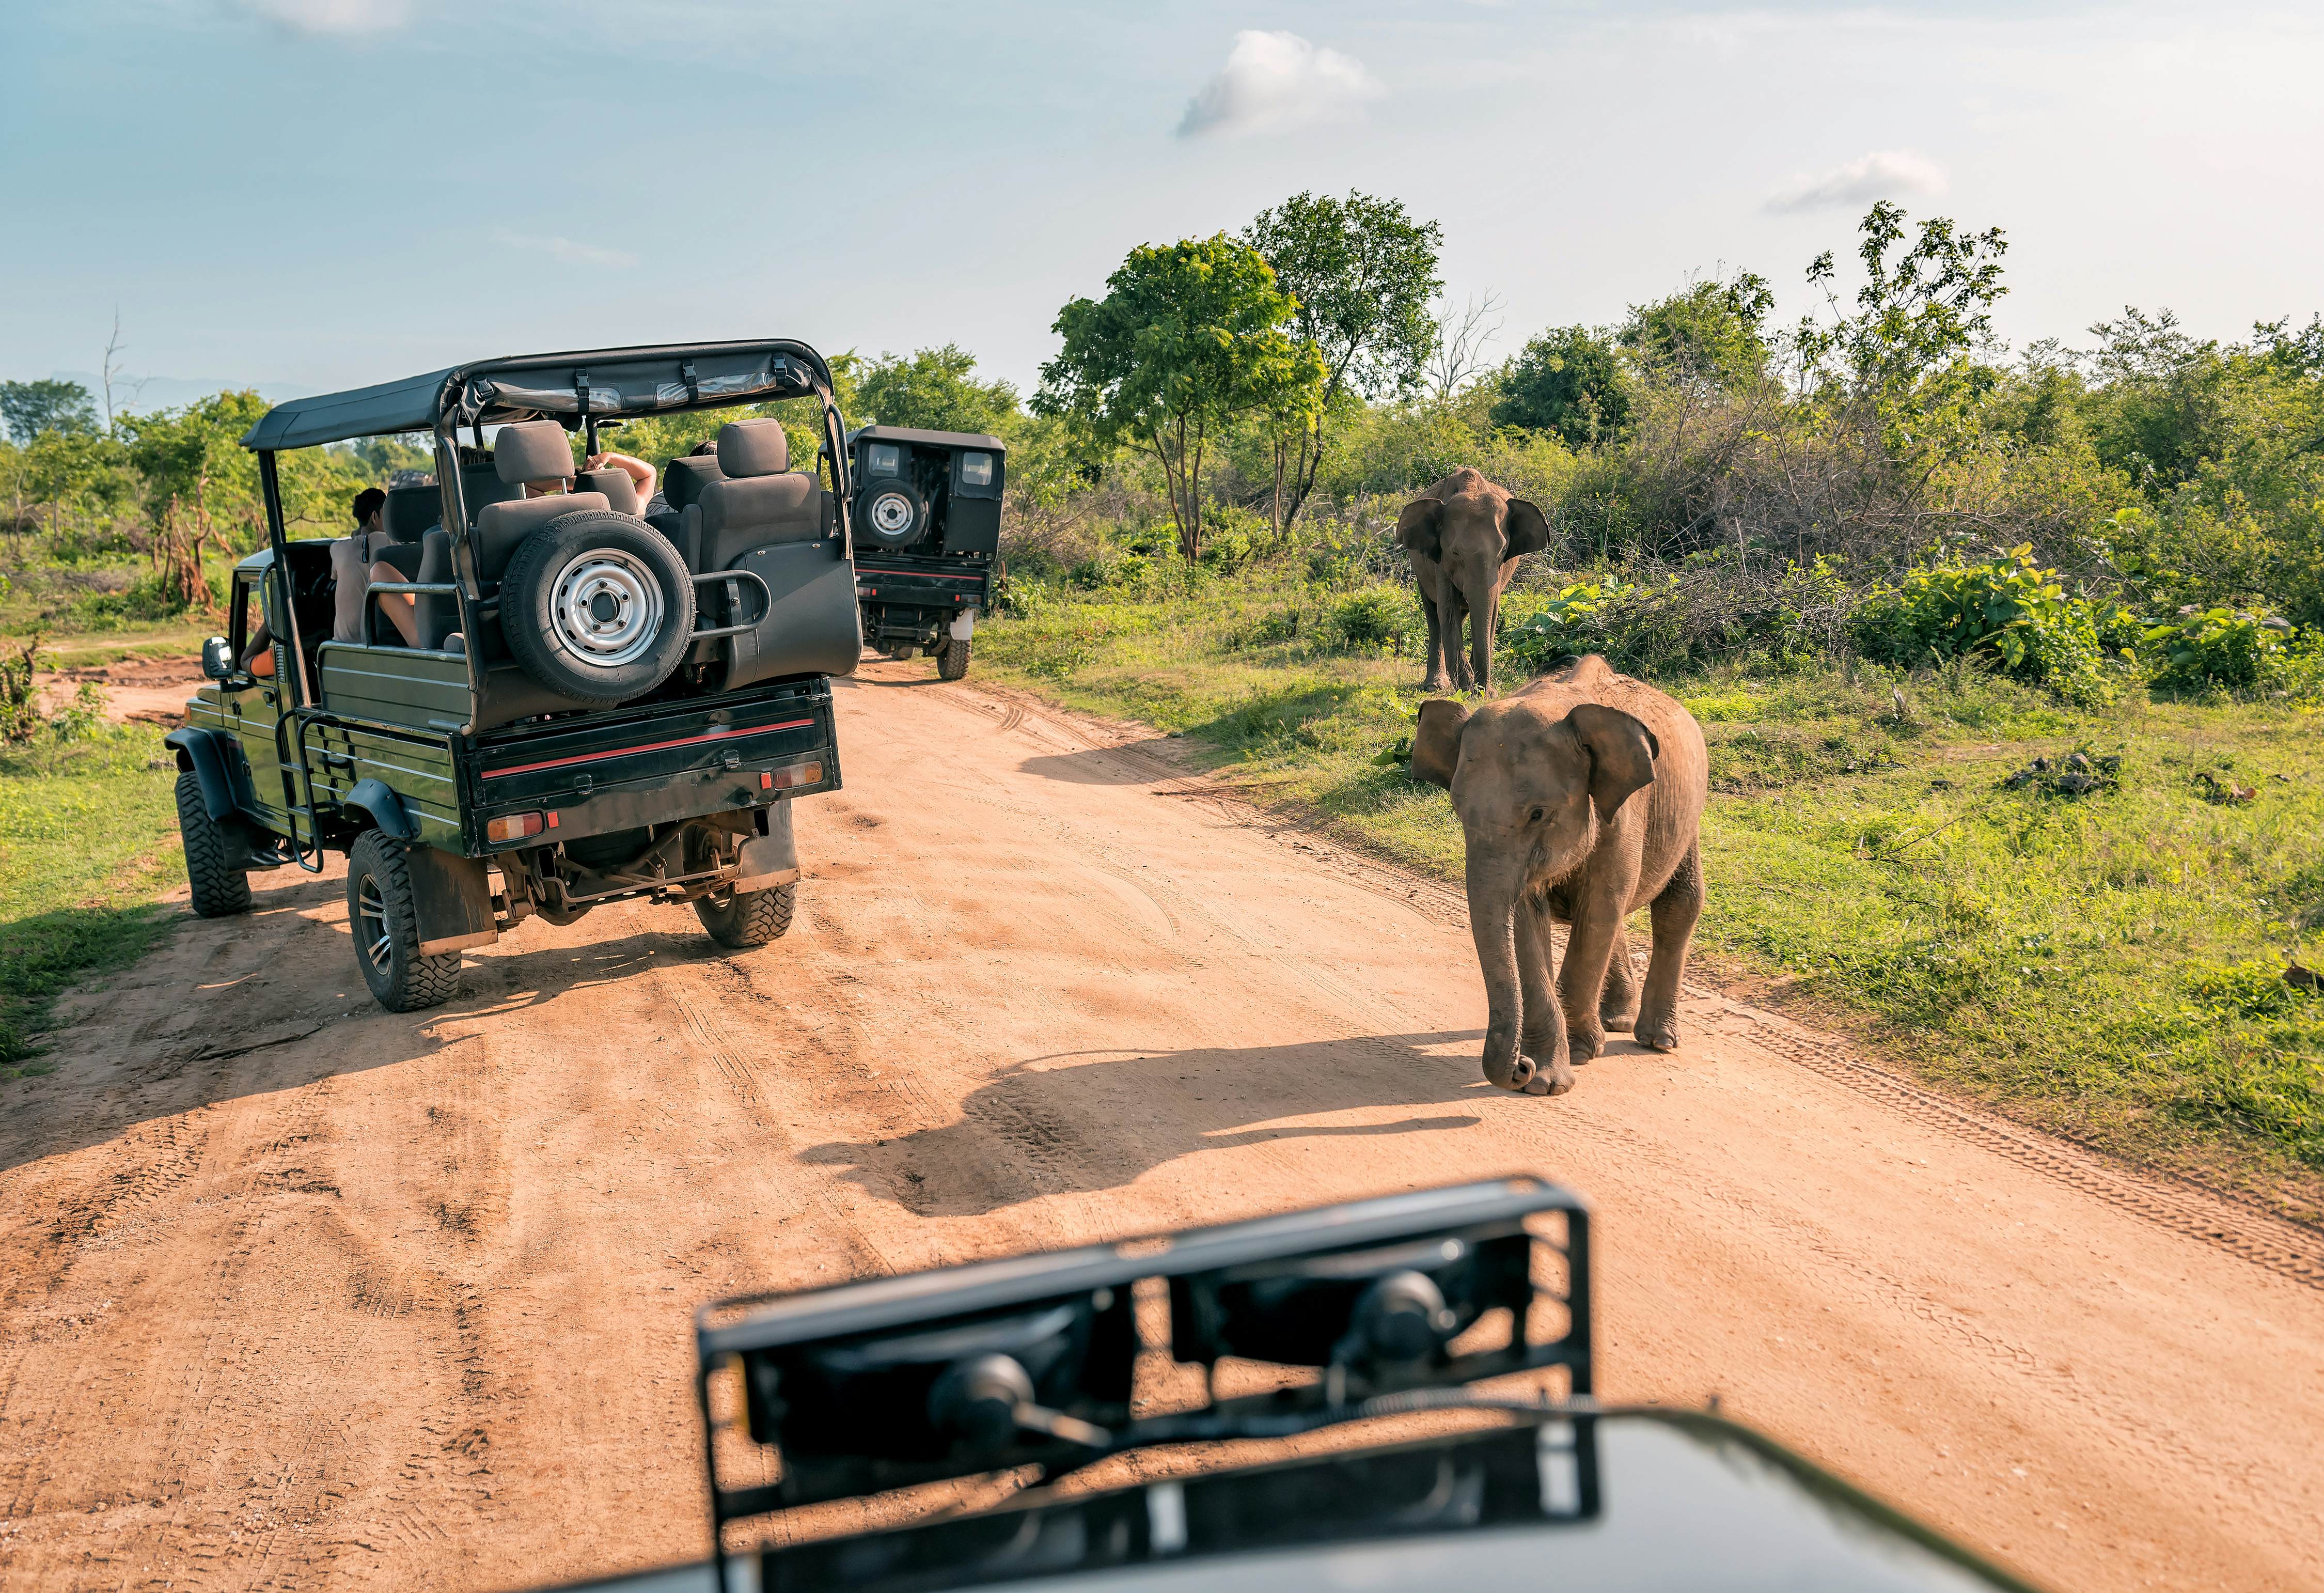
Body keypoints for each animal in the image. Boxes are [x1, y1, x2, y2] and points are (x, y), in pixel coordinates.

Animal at [1385, 472, 1552, 697]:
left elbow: (1491, 613)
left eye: (1503, 551)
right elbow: (1447, 611)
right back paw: (1434, 686)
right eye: (1456, 553)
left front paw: (1482, 691)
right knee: (1434, 617)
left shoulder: (1497, 575)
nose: (1483, 691)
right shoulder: (1441, 562)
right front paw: (1467, 689)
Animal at [1404, 651, 1720, 1093]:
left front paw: (1581, 1053)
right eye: (1458, 811)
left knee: (1677, 904)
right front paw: (1546, 1078)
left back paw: (1657, 1040)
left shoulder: (1624, 814)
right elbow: (1527, 918)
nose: (1519, 1067)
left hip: (1688, 815)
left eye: (1538, 814)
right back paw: (1616, 1020)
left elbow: (1600, 908)